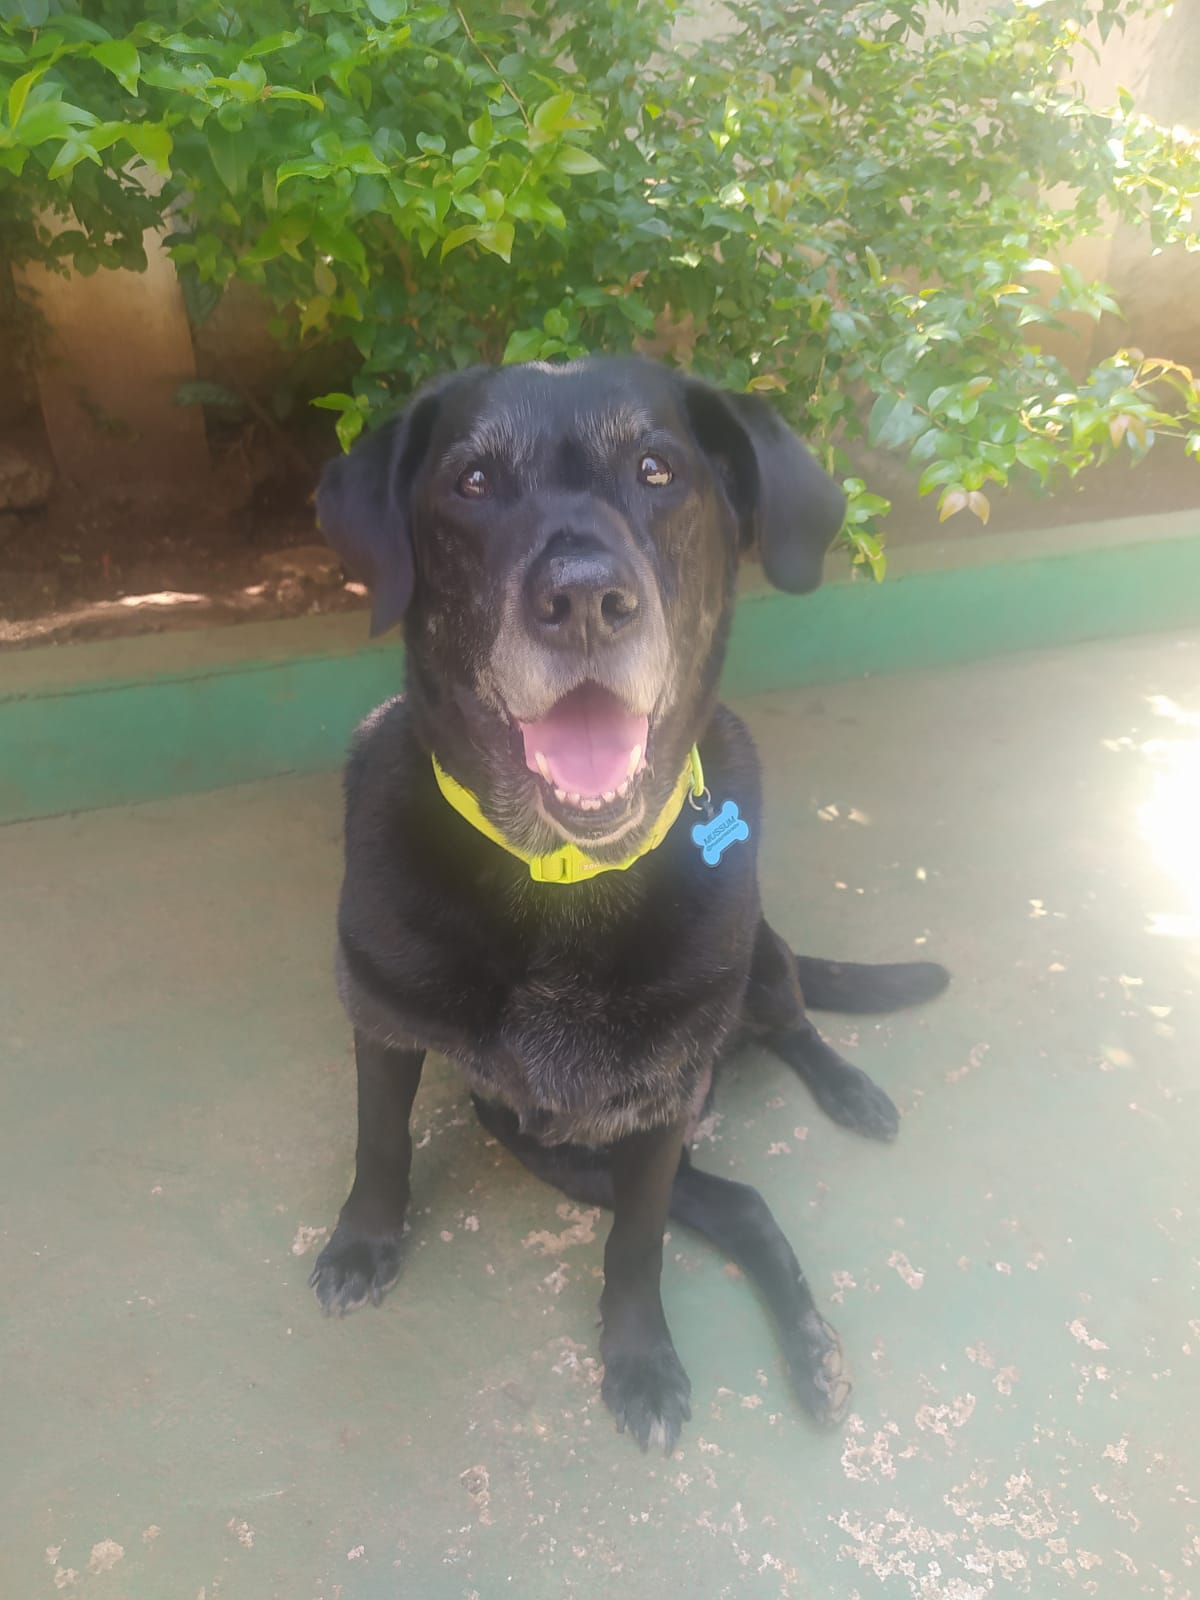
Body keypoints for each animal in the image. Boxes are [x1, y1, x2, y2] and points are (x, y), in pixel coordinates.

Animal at [311, 355, 948, 1452]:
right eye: (471, 483)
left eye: (658, 470)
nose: (583, 600)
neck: (561, 874)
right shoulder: (383, 1021)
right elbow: (380, 1141)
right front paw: (365, 1239)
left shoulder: (657, 1104)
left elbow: (636, 1248)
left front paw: (642, 1358)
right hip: (550, 1145)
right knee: (742, 1205)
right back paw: (808, 1342)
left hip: (752, 972)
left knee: (793, 1017)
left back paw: (847, 1091)